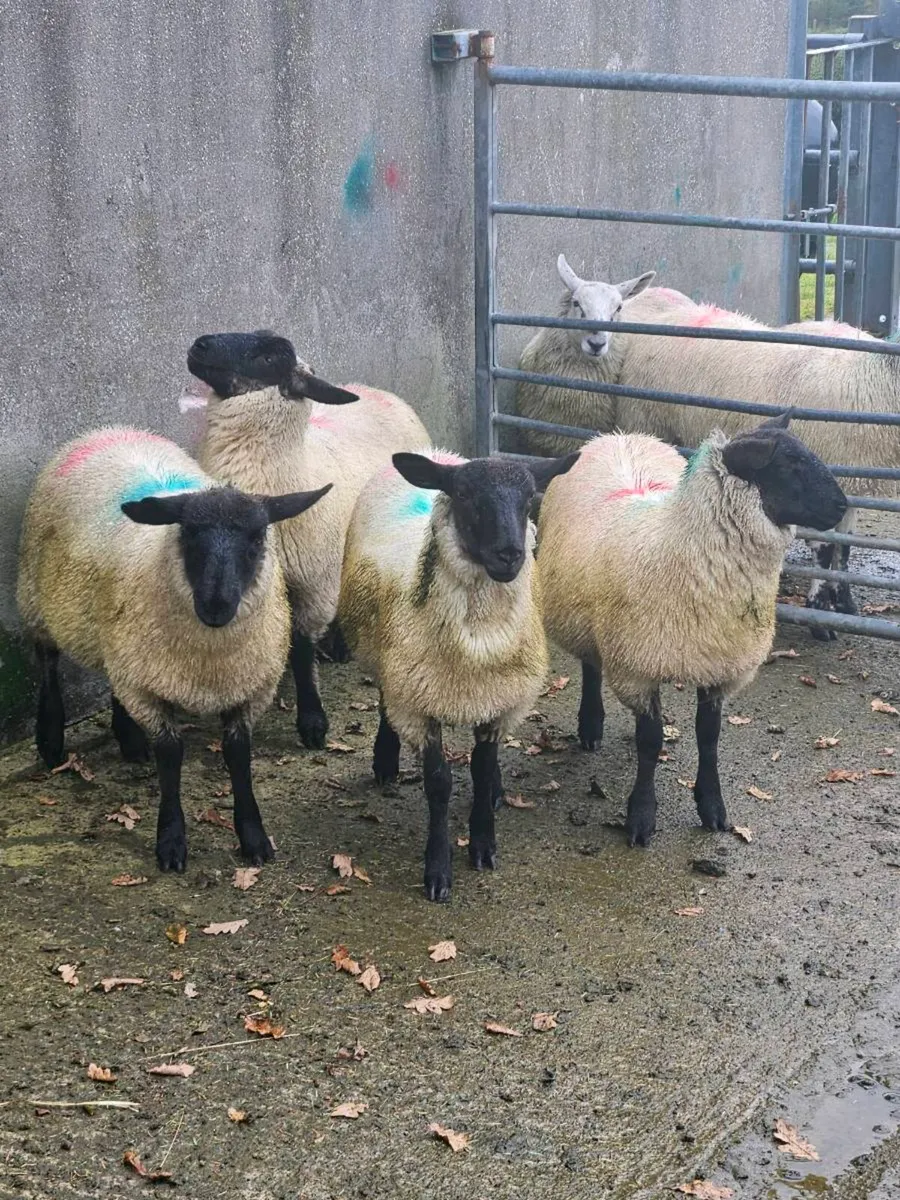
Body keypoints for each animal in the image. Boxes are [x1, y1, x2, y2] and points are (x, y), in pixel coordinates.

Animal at [17, 426, 331, 872]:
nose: (216, 604)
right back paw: (50, 739)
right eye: (188, 533)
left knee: (113, 679)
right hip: (35, 598)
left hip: (123, 642)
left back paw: (130, 741)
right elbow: (170, 755)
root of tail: (109, 430)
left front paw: (252, 836)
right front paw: (171, 841)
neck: (209, 660)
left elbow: (238, 756)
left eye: (257, 538)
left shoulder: (248, 687)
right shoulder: (150, 688)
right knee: (47, 663)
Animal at [187, 330, 430, 749]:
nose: (198, 345)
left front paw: (312, 721)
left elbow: (302, 651)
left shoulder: (312, 583)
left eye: (271, 358)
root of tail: (378, 390)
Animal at [338, 448, 579, 902]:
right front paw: (438, 869)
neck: (477, 641)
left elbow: (481, 770)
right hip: (386, 658)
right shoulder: (419, 702)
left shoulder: (499, 701)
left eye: (529, 498)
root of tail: (438, 455)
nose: (509, 554)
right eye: (464, 494)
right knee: (385, 700)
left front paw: (483, 841)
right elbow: (439, 784)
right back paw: (384, 759)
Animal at [536, 414, 847, 847]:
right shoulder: (637, 668)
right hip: (587, 617)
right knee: (591, 666)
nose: (842, 506)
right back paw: (591, 724)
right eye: (789, 463)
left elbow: (709, 738)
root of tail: (617, 436)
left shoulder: (719, 664)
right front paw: (641, 816)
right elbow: (650, 743)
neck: (678, 547)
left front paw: (712, 806)